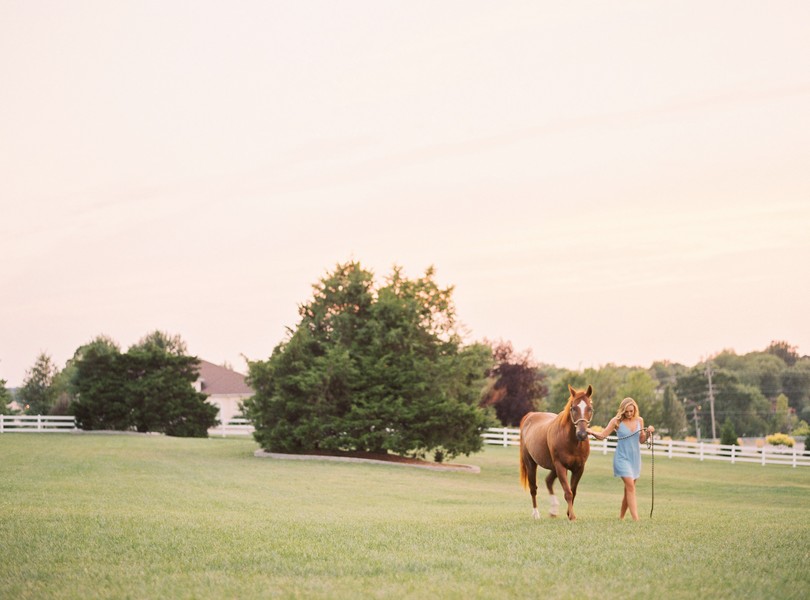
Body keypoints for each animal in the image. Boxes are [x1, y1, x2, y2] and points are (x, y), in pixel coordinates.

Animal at [516, 384, 592, 520]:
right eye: (573, 408)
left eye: (590, 408)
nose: (582, 434)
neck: (572, 442)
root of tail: (530, 415)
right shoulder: (560, 466)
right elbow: (568, 492)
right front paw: (572, 516)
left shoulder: (579, 468)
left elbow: (573, 491)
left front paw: (569, 513)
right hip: (531, 464)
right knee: (533, 488)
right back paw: (536, 513)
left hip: (553, 468)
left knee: (548, 481)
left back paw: (553, 510)